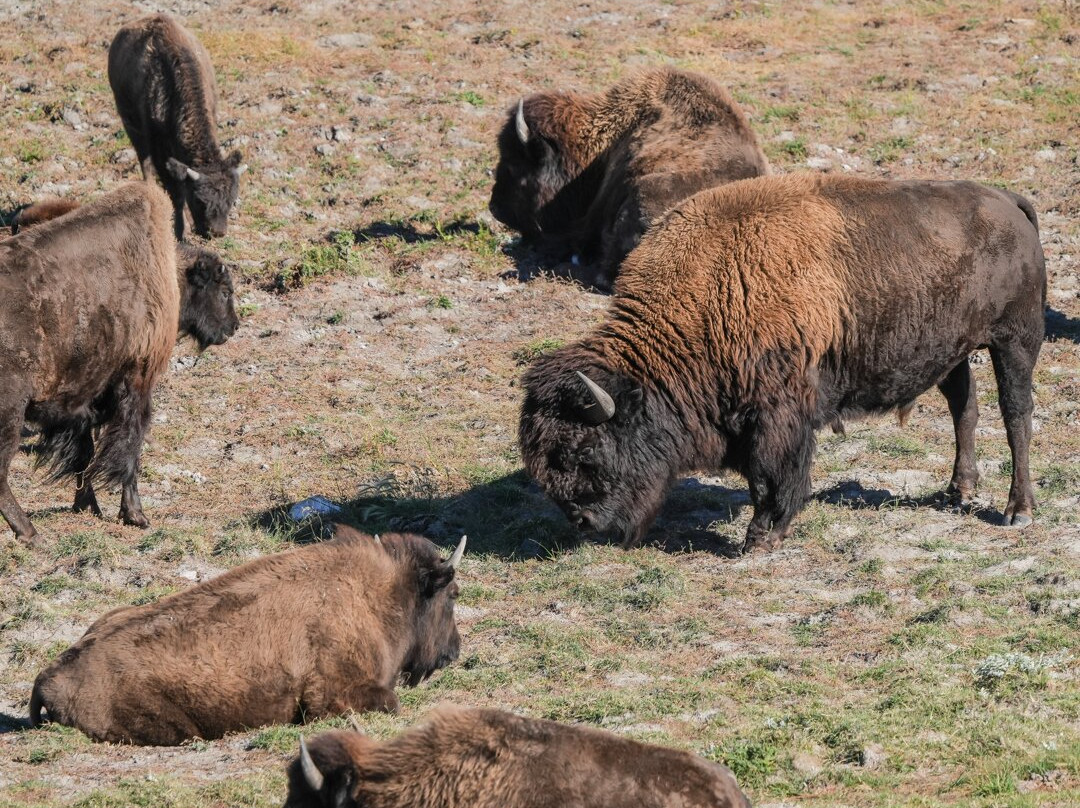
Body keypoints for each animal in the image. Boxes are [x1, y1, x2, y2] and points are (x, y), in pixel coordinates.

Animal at [0, 182, 178, 545]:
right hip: (9, 413)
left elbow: (85, 453)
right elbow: (128, 450)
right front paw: (136, 516)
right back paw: (31, 533)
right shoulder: (136, 380)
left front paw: (88, 506)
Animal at [30, 528, 466, 745]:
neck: (376, 597)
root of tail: (50, 677)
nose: (454, 650)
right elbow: (388, 702)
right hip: (174, 730)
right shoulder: (335, 696)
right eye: (452, 595)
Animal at [109, 13, 246, 239]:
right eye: (199, 200)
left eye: (231, 199)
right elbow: (176, 192)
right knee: (145, 166)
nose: (216, 232)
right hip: (132, 127)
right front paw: (181, 231)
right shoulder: (158, 148)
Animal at [519, 173, 1046, 552]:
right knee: (964, 407)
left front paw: (760, 538)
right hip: (953, 351)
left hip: (1015, 342)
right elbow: (760, 478)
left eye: (585, 452)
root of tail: (1007, 201)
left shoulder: (776, 417)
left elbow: (772, 475)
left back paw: (1017, 510)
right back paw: (958, 491)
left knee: (1015, 415)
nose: (584, 522)